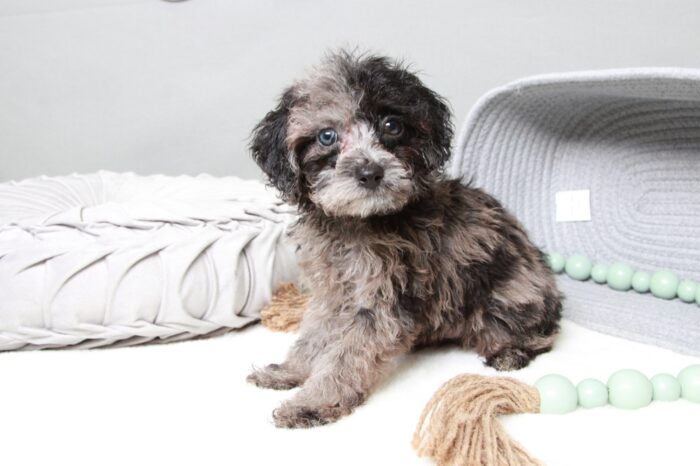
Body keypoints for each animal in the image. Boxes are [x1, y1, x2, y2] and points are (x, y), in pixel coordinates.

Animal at [247, 52, 564, 430]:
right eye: (327, 136)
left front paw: (313, 402)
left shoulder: (381, 303)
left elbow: (345, 356)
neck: (356, 222)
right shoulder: (333, 294)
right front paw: (290, 372)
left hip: (508, 298)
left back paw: (510, 352)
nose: (370, 173)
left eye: (392, 126)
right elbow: (313, 336)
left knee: (538, 333)